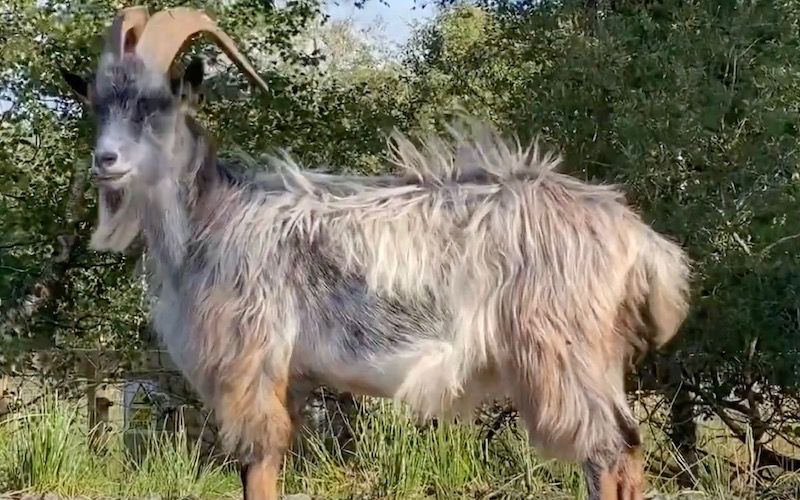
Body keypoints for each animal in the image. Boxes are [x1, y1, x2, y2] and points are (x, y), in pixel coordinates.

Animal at [60, 6, 691, 500]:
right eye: (98, 103)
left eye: (155, 104)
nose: (105, 161)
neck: (211, 217)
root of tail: (637, 237)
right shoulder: (289, 377)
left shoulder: (252, 363)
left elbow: (258, 468)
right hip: (598, 357)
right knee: (625, 450)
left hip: (562, 351)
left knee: (608, 450)